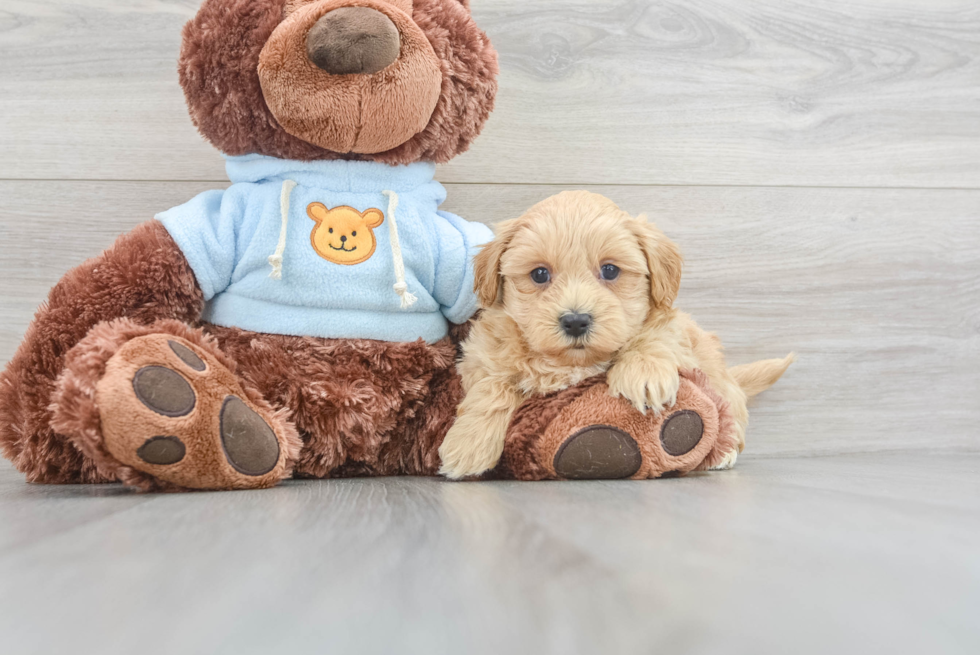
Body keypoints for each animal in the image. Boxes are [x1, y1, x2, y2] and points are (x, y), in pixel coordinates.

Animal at [440, 187, 792, 480]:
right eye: (539, 274)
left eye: (610, 270)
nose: (576, 321)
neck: (573, 364)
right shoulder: (480, 355)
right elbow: (492, 386)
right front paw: (467, 444)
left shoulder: (675, 332)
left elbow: (654, 336)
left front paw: (644, 375)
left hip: (720, 380)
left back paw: (725, 452)